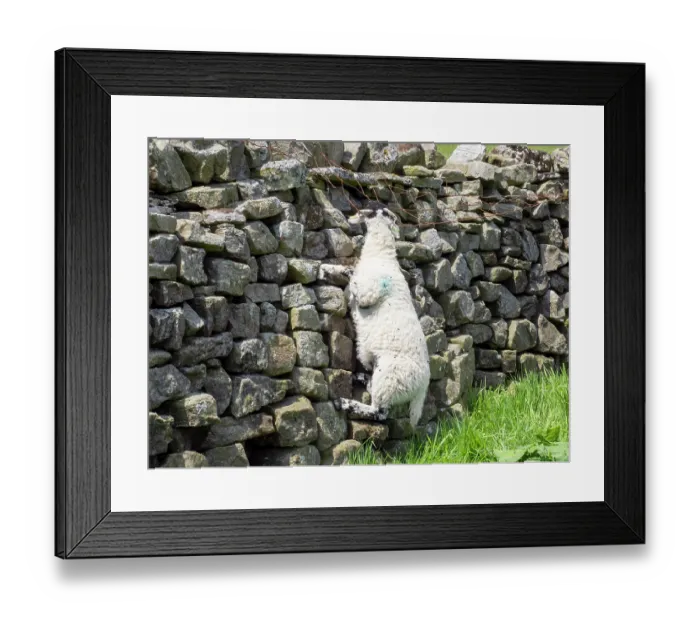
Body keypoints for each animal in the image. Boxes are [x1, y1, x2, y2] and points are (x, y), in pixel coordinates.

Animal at [333, 208, 430, 428]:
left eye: (365, 212)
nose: (348, 218)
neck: (380, 255)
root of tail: (423, 386)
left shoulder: (369, 293)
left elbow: (354, 278)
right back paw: (362, 378)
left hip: (390, 377)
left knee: (380, 413)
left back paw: (345, 403)